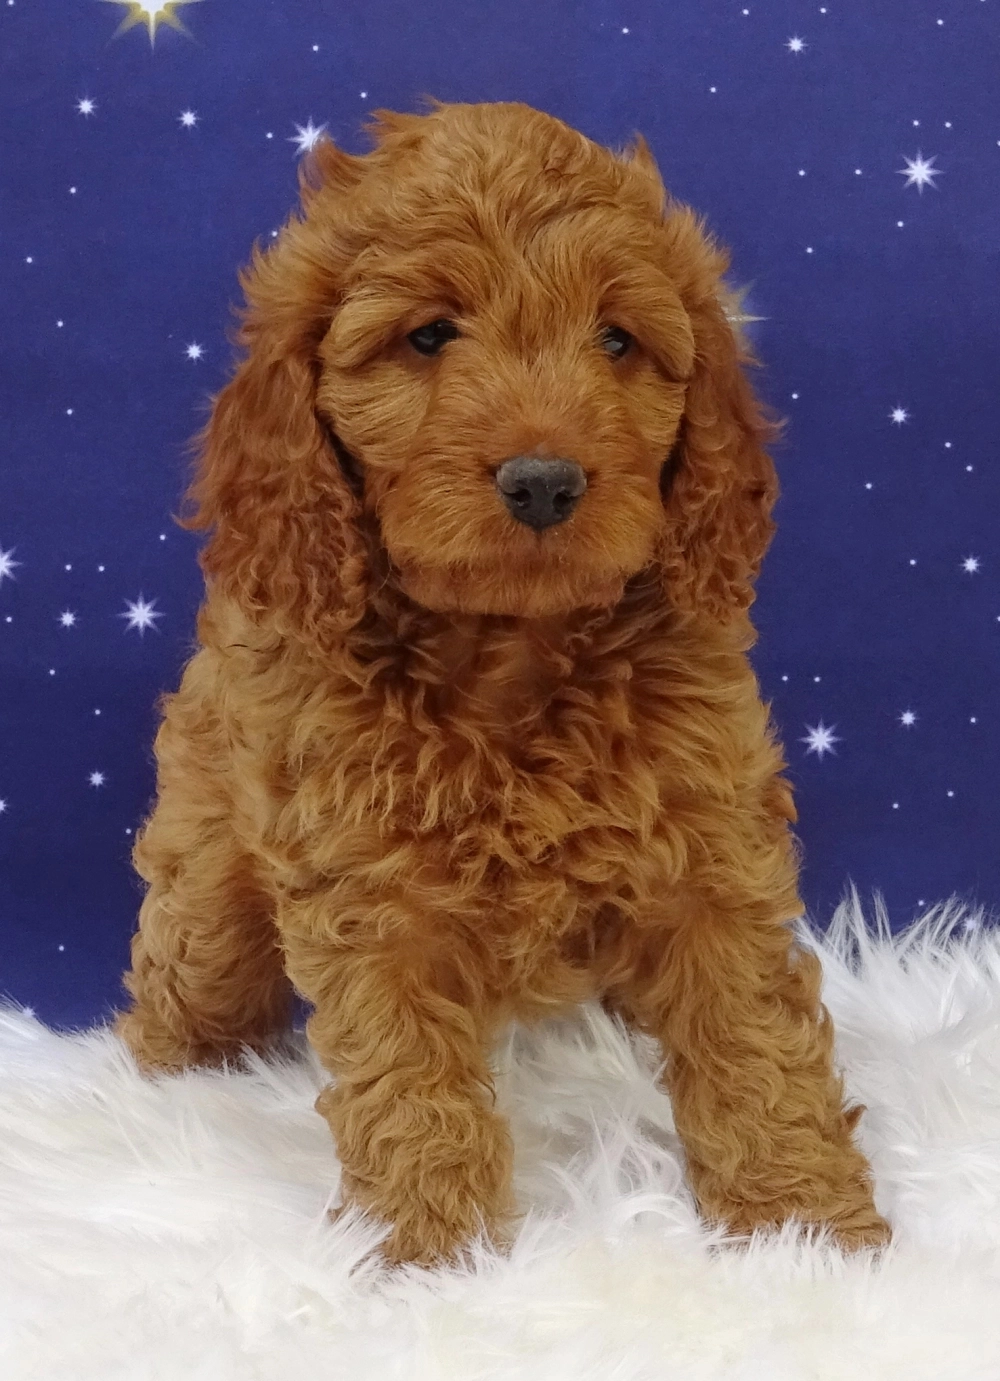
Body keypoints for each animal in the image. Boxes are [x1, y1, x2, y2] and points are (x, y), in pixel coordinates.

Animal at [116, 100, 890, 1264]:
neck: (509, 651)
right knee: (185, 968)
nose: (544, 481)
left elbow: (756, 1041)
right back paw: (149, 1089)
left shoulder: (712, 856)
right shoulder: (369, 895)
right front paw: (436, 1257)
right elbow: (407, 1085)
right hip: (210, 869)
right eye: (430, 336)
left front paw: (804, 1229)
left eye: (616, 340)